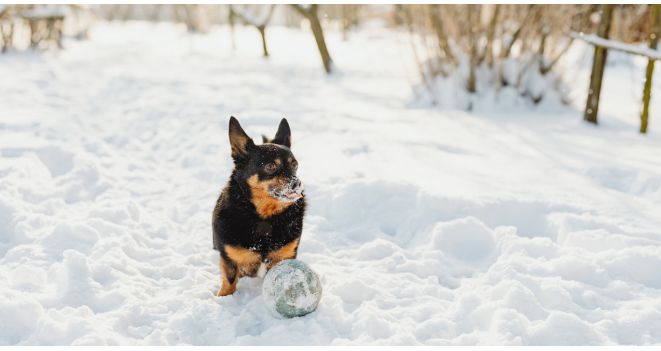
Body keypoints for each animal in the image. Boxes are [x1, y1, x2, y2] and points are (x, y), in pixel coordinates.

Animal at [210, 117, 306, 296]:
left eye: (295, 165)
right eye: (270, 166)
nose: (297, 184)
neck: (263, 217)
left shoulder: (285, 256)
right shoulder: (229, 258)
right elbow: (229, 280)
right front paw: (224, 297)